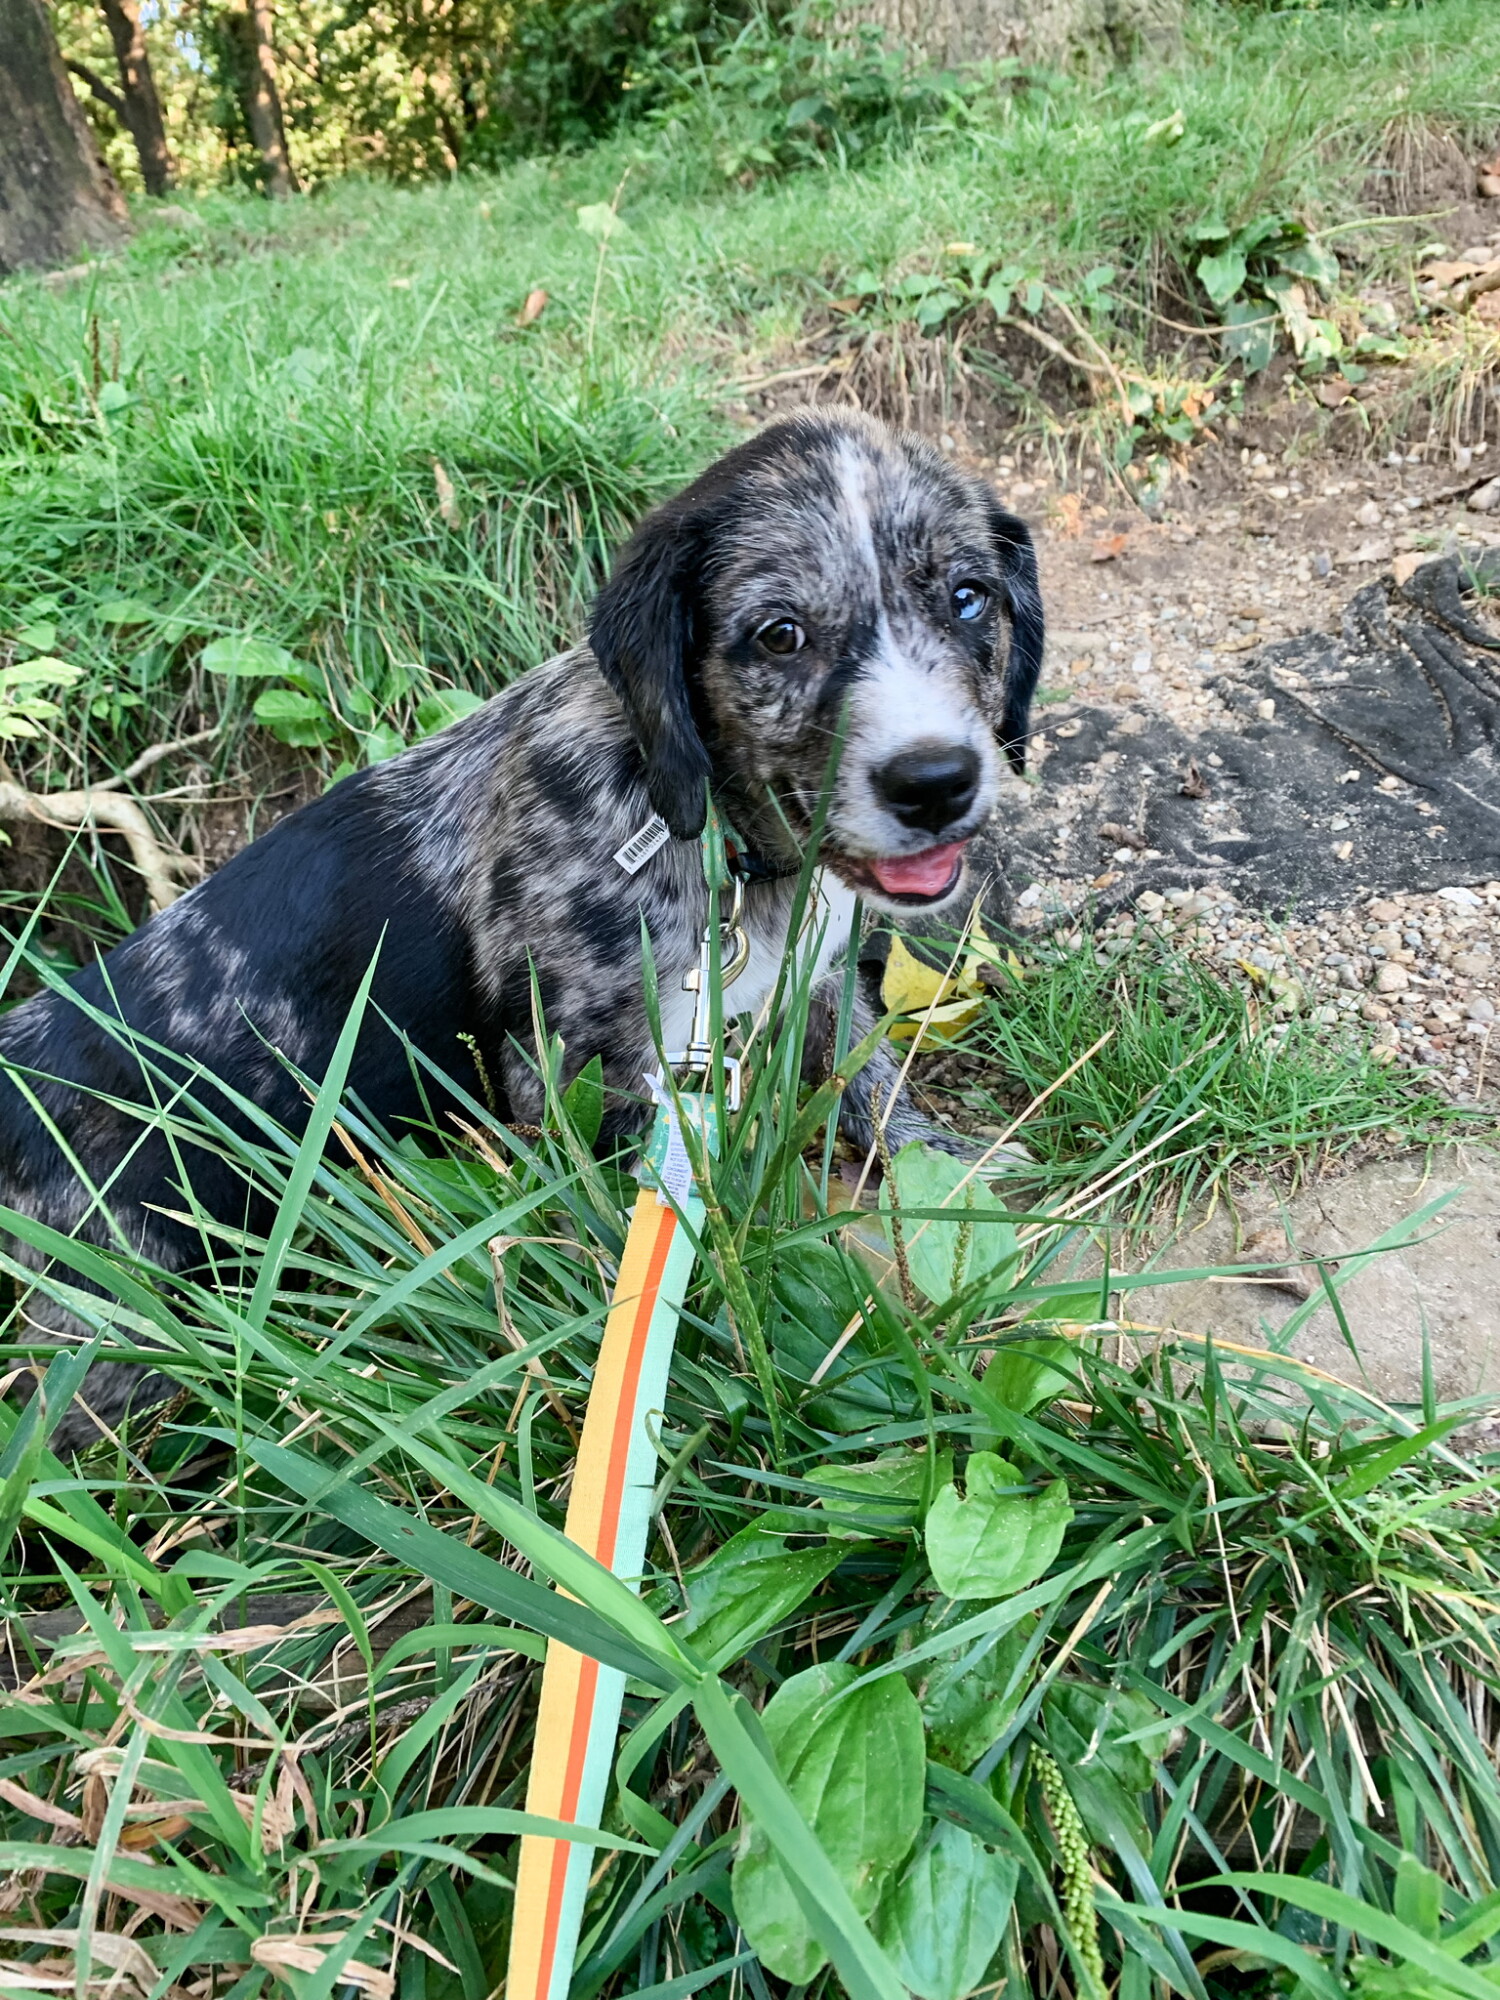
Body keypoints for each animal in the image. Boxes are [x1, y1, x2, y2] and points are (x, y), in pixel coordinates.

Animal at [0, 410, 1048, 1440]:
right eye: (780, 634)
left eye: (968, 599)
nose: (935, 781)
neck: (702, 826)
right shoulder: (577, 1071)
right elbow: (616, 1226)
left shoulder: (816, 981)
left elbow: (870, 1070)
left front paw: (952, 1169)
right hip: (114, 1319)